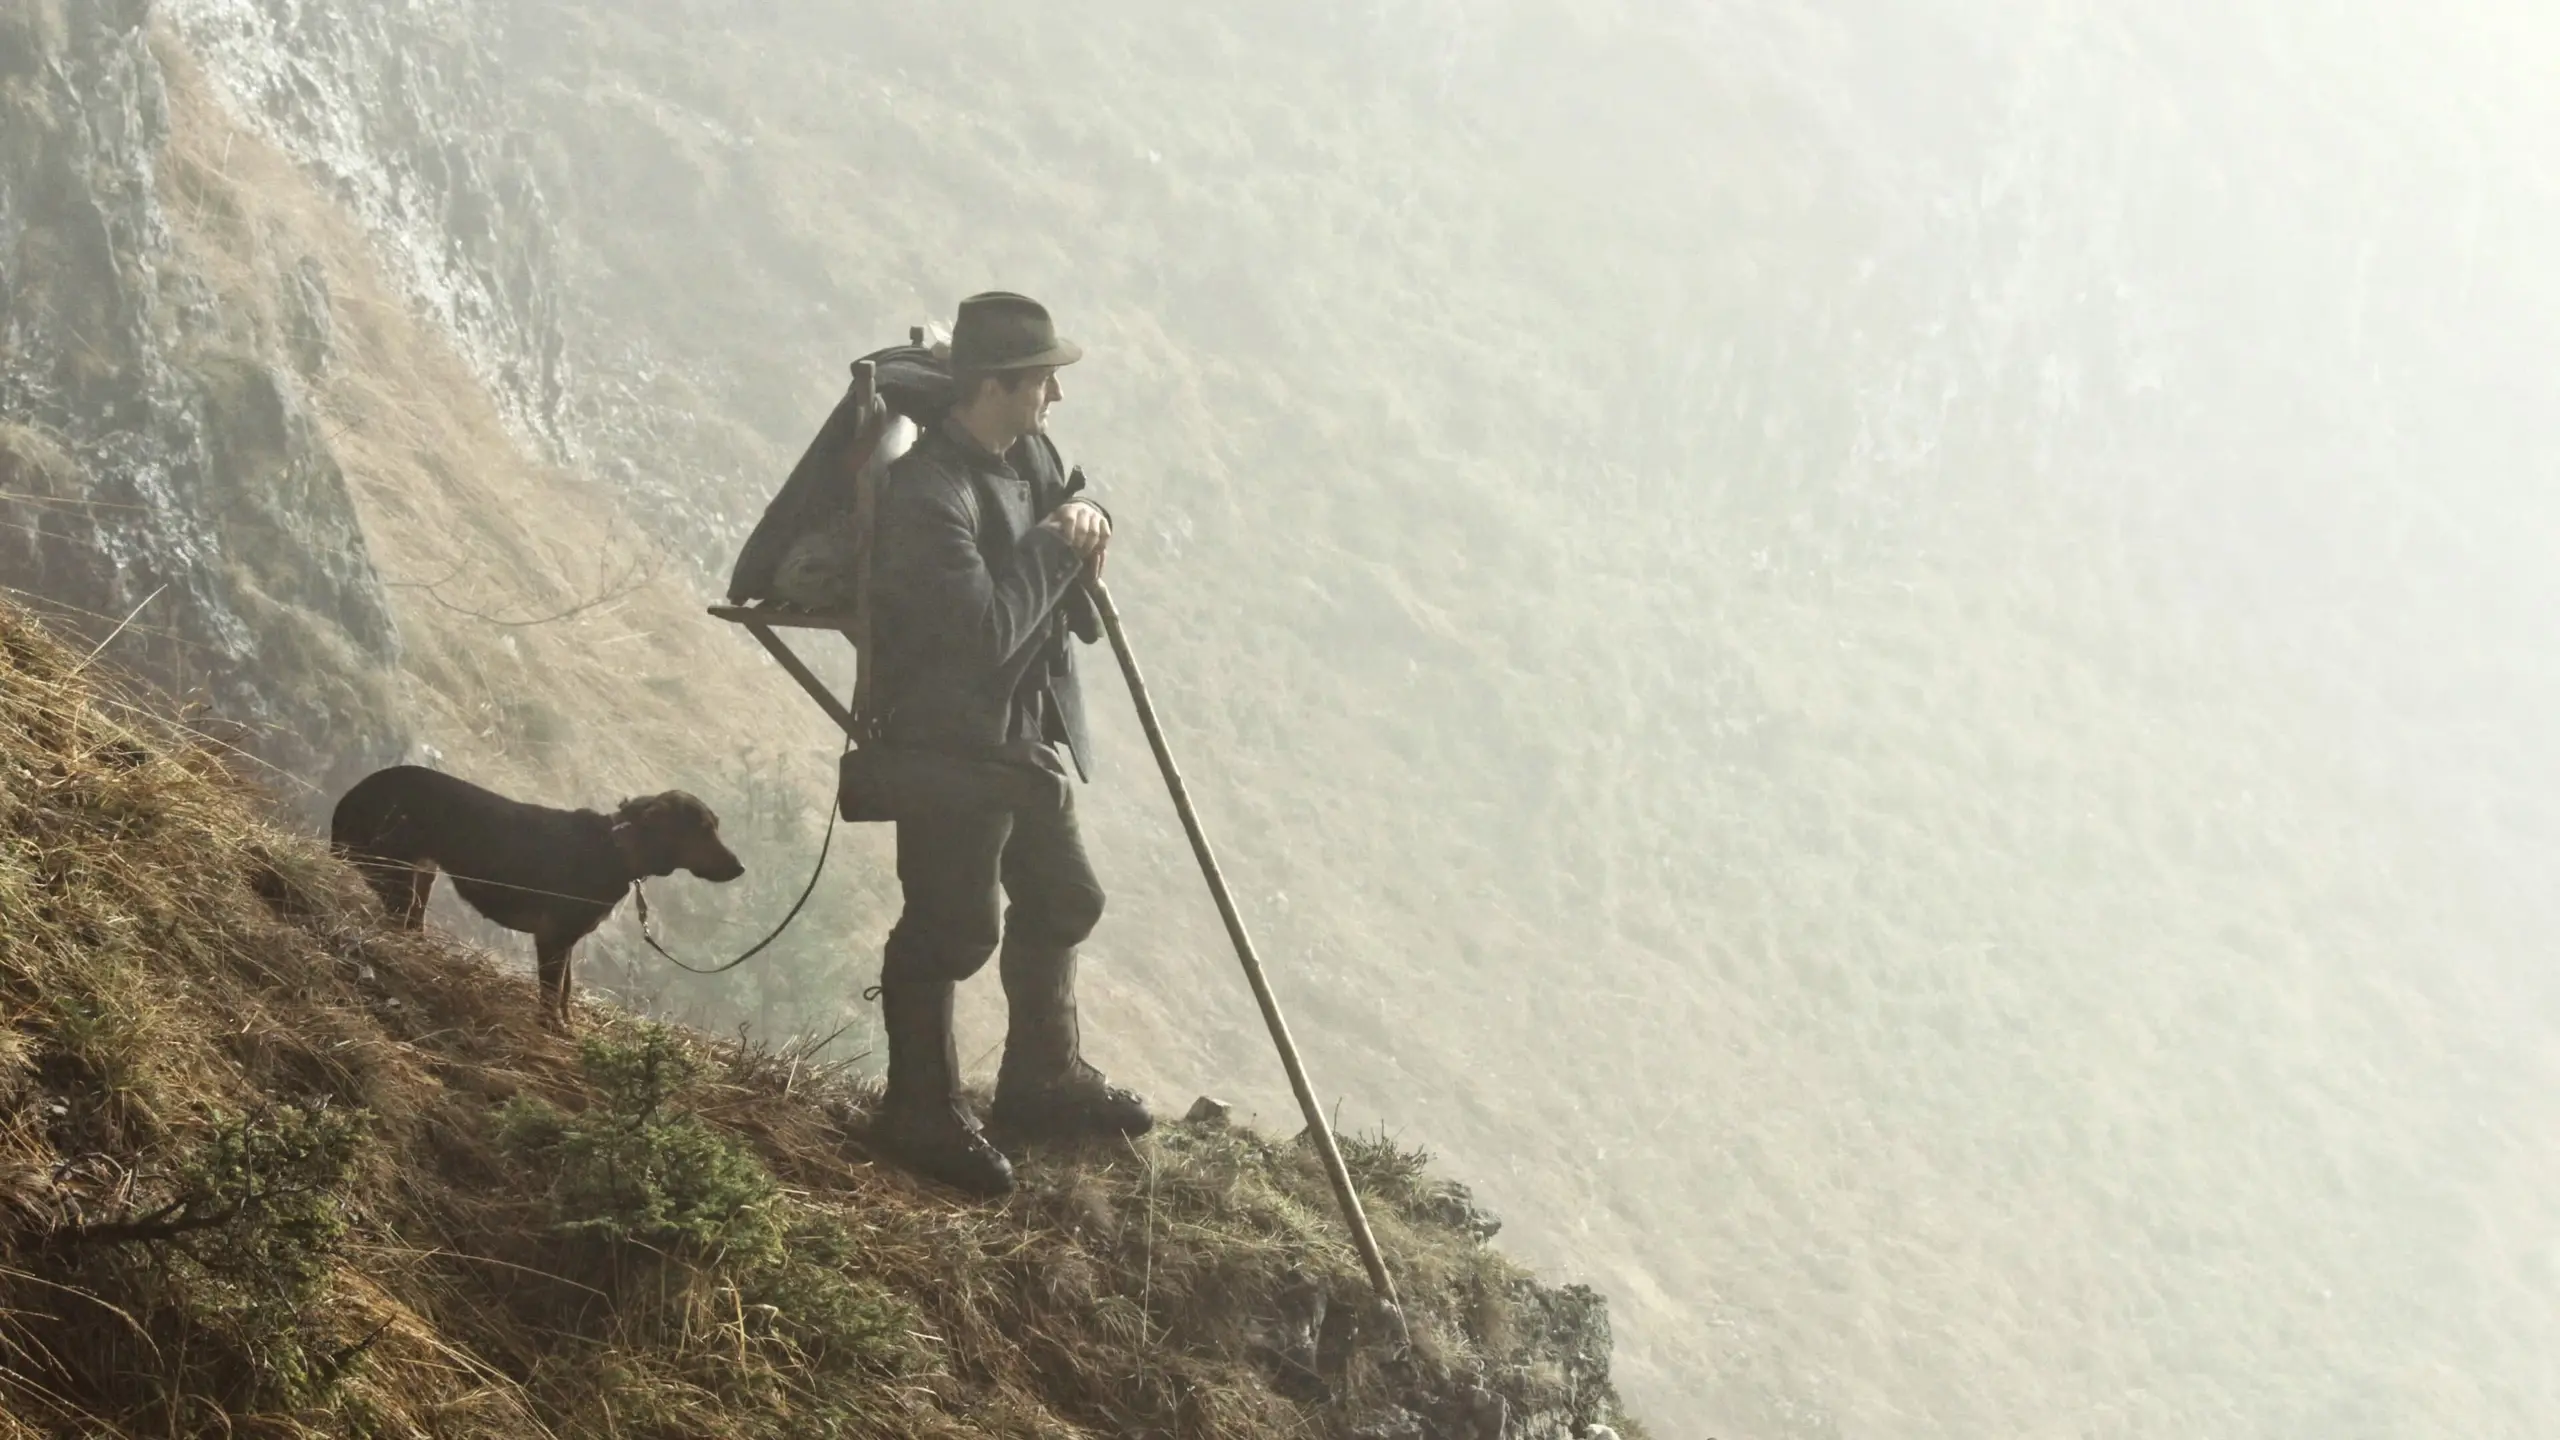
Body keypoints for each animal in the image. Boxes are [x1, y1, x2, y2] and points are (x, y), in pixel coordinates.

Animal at [330, 758, 742, 1024]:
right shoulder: (553, 938)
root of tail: (354, 795)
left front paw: (567, 1030)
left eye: (715, 827)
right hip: (394, 873)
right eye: (704, 830)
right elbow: (551, 995)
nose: (740, 868)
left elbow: (565, 991)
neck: (615, 848)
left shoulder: (567, 941)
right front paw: (551, 1029)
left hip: (421, 875)